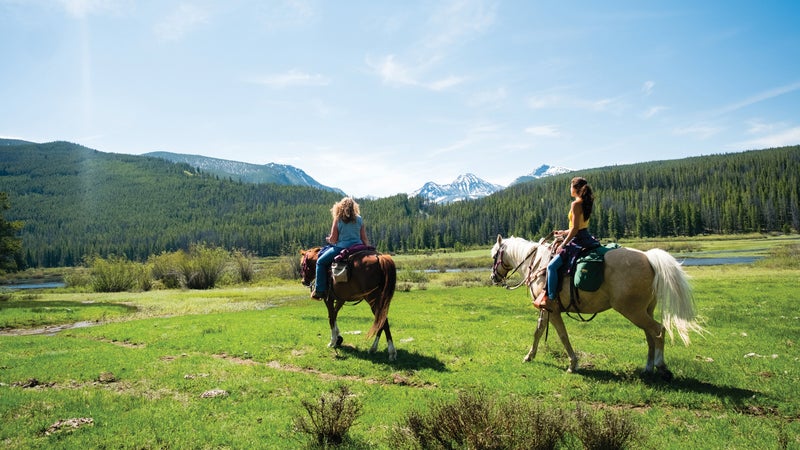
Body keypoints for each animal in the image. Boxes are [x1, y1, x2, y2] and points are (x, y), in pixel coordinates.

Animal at [490, 236, 704, 380]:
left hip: (632, 311)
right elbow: (538, 331)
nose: (494, 277)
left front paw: (573, 364)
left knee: (659, 330)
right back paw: (648, 368)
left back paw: (661, 367)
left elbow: (562, 335)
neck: (537, 263)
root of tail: (648, 257)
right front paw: (530, 356)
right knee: (650, 334)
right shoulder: (546, 310)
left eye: (494, 256)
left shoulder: (552, 309)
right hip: (645, 311)